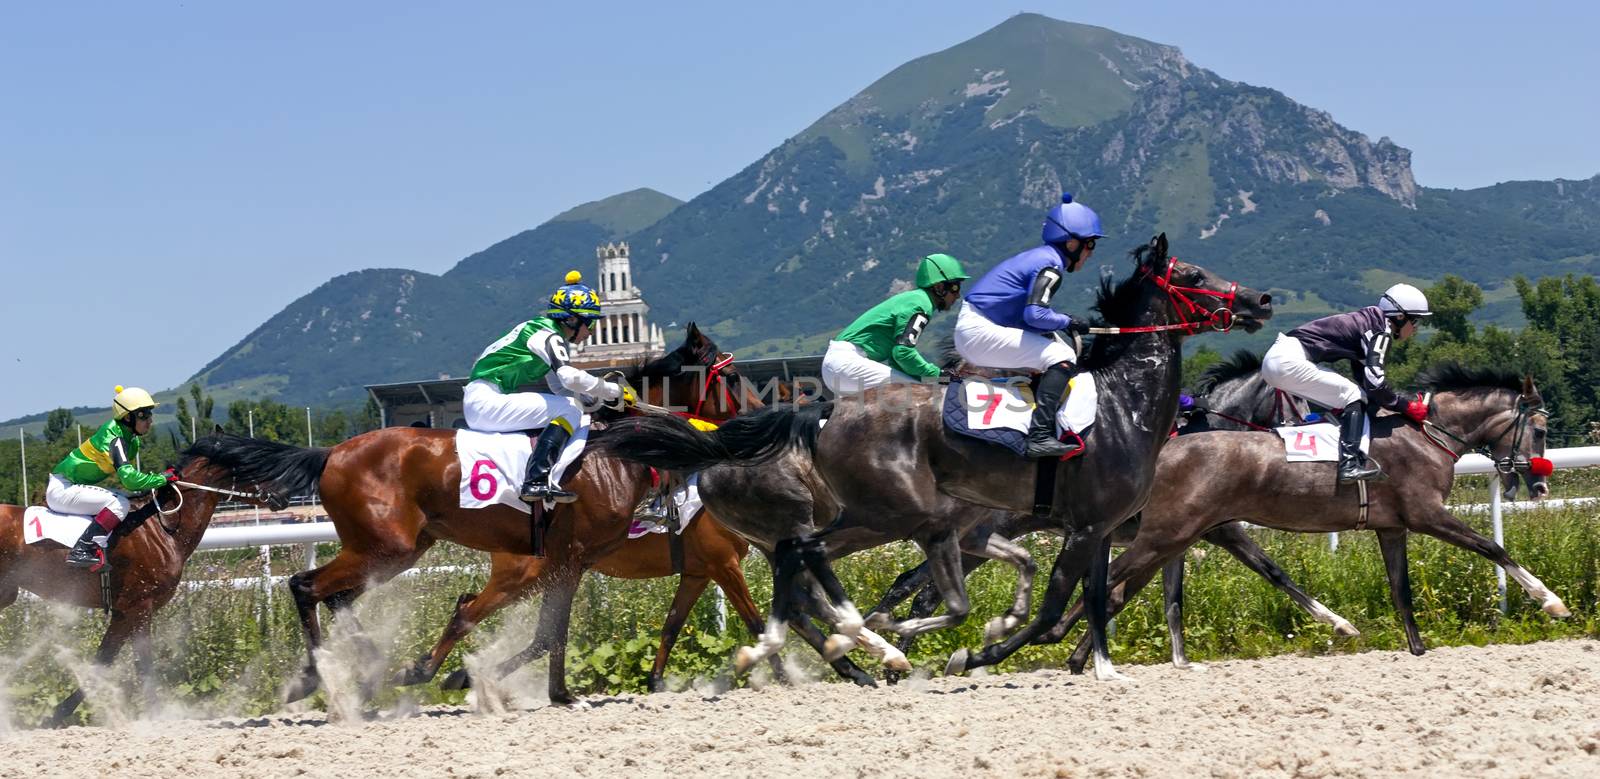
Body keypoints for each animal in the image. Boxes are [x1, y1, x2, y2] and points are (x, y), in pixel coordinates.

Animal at [0, 451, 281, 726]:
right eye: (250, 465)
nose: (281, 496)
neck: (162, 527)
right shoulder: (140, 606)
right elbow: (143, 663)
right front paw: (156, 716)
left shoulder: (124, 612)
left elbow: (103, 660)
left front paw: (57, 714)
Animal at [598, 233, 1273, 684]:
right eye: (1192, 273)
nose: (1262, 300)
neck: (1120, 405)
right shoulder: (1076, 527)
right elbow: (1052, 607)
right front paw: (977, 653)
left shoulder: (1092, 528)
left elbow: (1088, 597)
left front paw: (1097, 666)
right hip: (868, 516)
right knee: (809, 568)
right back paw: (864, 648)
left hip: (845, 524)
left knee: (802, 572)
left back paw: (834, 649)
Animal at [1049, 363, 1561, 675]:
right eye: (1539, 429)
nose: (1539, 485)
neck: (1426, 436)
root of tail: (1163, 451)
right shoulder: (1427, 514)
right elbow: (1491, 546)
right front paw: (1551, 601)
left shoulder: (1392, 525)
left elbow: (1400, 587)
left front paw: (1415, 648)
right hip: (1164, 534)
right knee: (1108, 580)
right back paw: (1052, 636)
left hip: (1175, 534)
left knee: (1116, 585)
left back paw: (1074, 651)